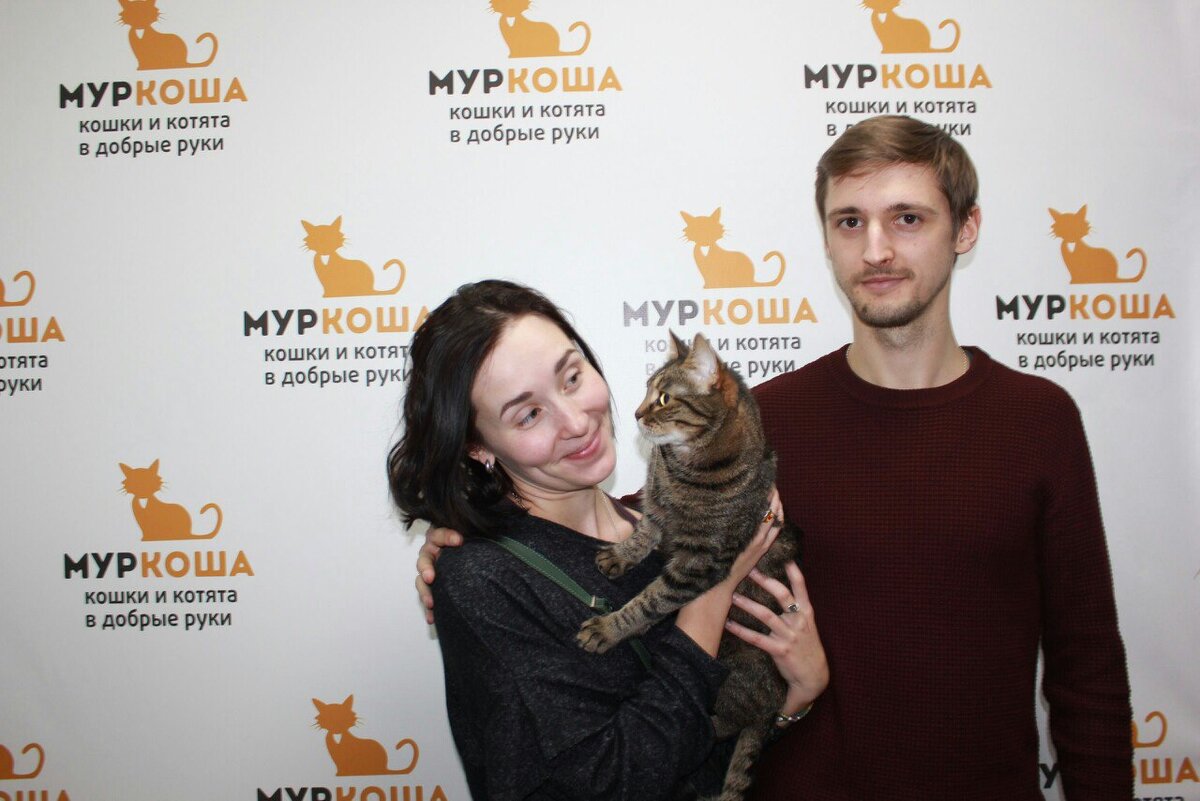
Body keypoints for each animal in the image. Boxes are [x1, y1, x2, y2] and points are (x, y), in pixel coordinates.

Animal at [577, 332, 800, 801]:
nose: (637, 412)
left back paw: (711, 728)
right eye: (647, 392)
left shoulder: (699, 563)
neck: (681, 470)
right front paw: (621, 554)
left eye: (663, 398)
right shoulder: (657, 508)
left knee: (729, 723)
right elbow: (643, 531)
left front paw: (609, 627)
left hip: (736, 674)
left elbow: (650, 601)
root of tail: (774, 701)